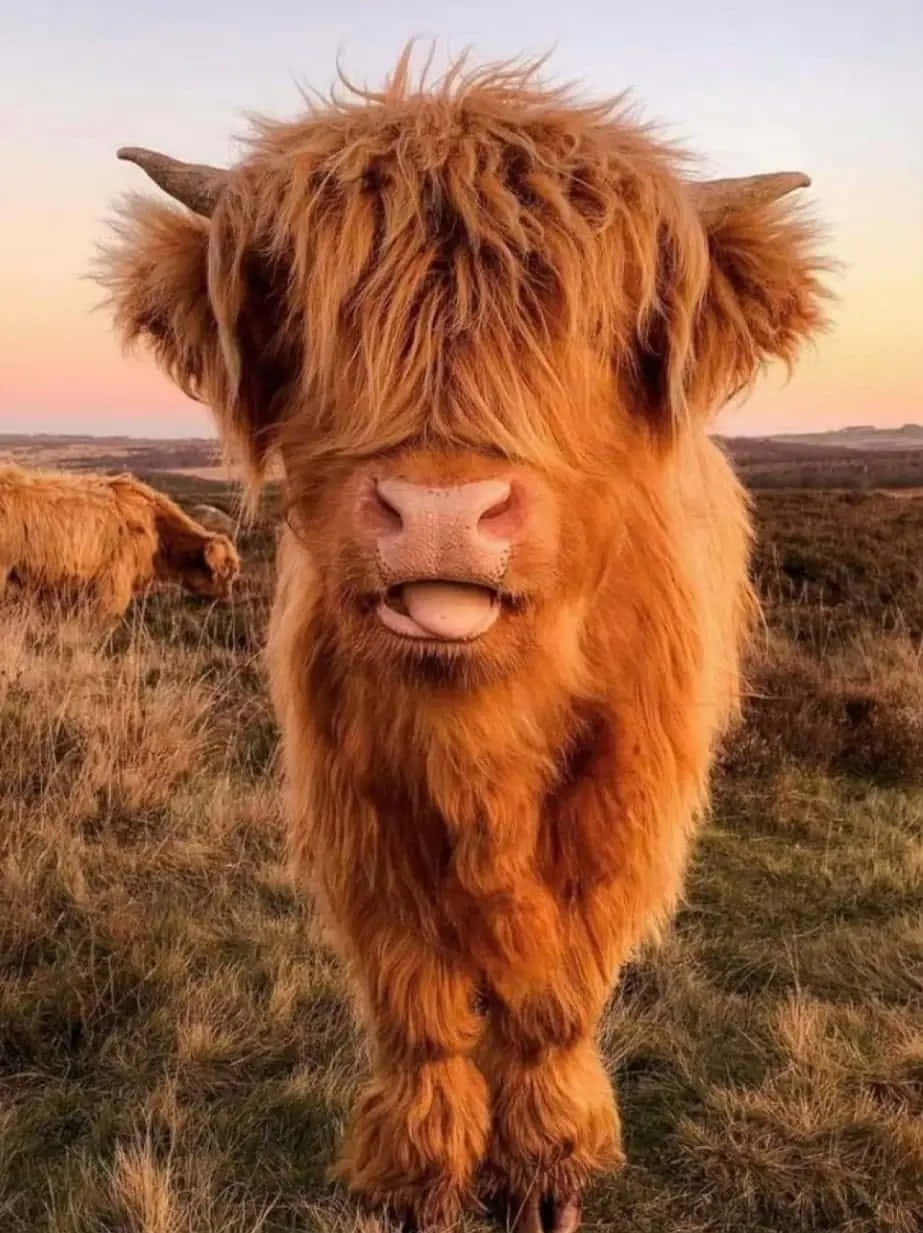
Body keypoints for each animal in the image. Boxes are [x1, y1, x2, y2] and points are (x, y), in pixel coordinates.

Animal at [100, 52, 828, 1231]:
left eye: (595, 328)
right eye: (315, 318)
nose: (441, 513)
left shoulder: (620, 816)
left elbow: (551, 1005)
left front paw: (545, 1175)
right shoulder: (359, 813)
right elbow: (424, 1011)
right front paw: (427, 1180)